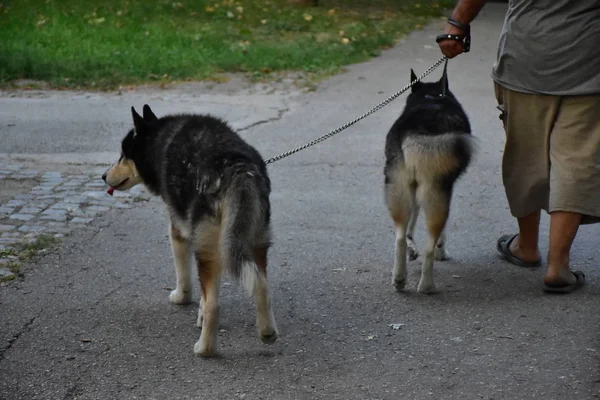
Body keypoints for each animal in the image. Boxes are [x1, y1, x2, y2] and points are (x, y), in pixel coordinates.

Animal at [103, 104, 278, 356]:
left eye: (123, 154)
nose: (103, 176)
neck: (160, 139)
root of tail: (237, 166)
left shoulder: (178, 231)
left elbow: (184, 275)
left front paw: (182, 298)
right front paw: (199, 315)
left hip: (208, 247)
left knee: (215, 306)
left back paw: (205, 349)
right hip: (253, 241)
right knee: (261, 285)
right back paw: (267, 332)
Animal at [384, 65, 474, 294]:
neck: (431, 97)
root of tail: (418, 133)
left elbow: (410, 226)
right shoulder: (446, 189)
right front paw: (442, 250)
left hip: (398, 187)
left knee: (399, 236)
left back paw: (399, 278)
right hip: (437, 195)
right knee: (429, 247)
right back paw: (427, 286)